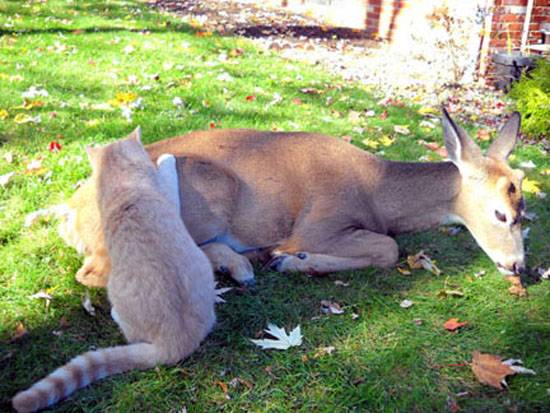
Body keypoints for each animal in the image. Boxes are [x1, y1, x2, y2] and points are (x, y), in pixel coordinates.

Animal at [60, 108, 528, 286]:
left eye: (524, 207)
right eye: (501, 214)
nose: (517, 265)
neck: (378, 192)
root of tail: (71, 216)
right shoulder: (319, 222)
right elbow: (388, 247)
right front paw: (292, 260)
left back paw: (240, 264)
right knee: (98, 271)